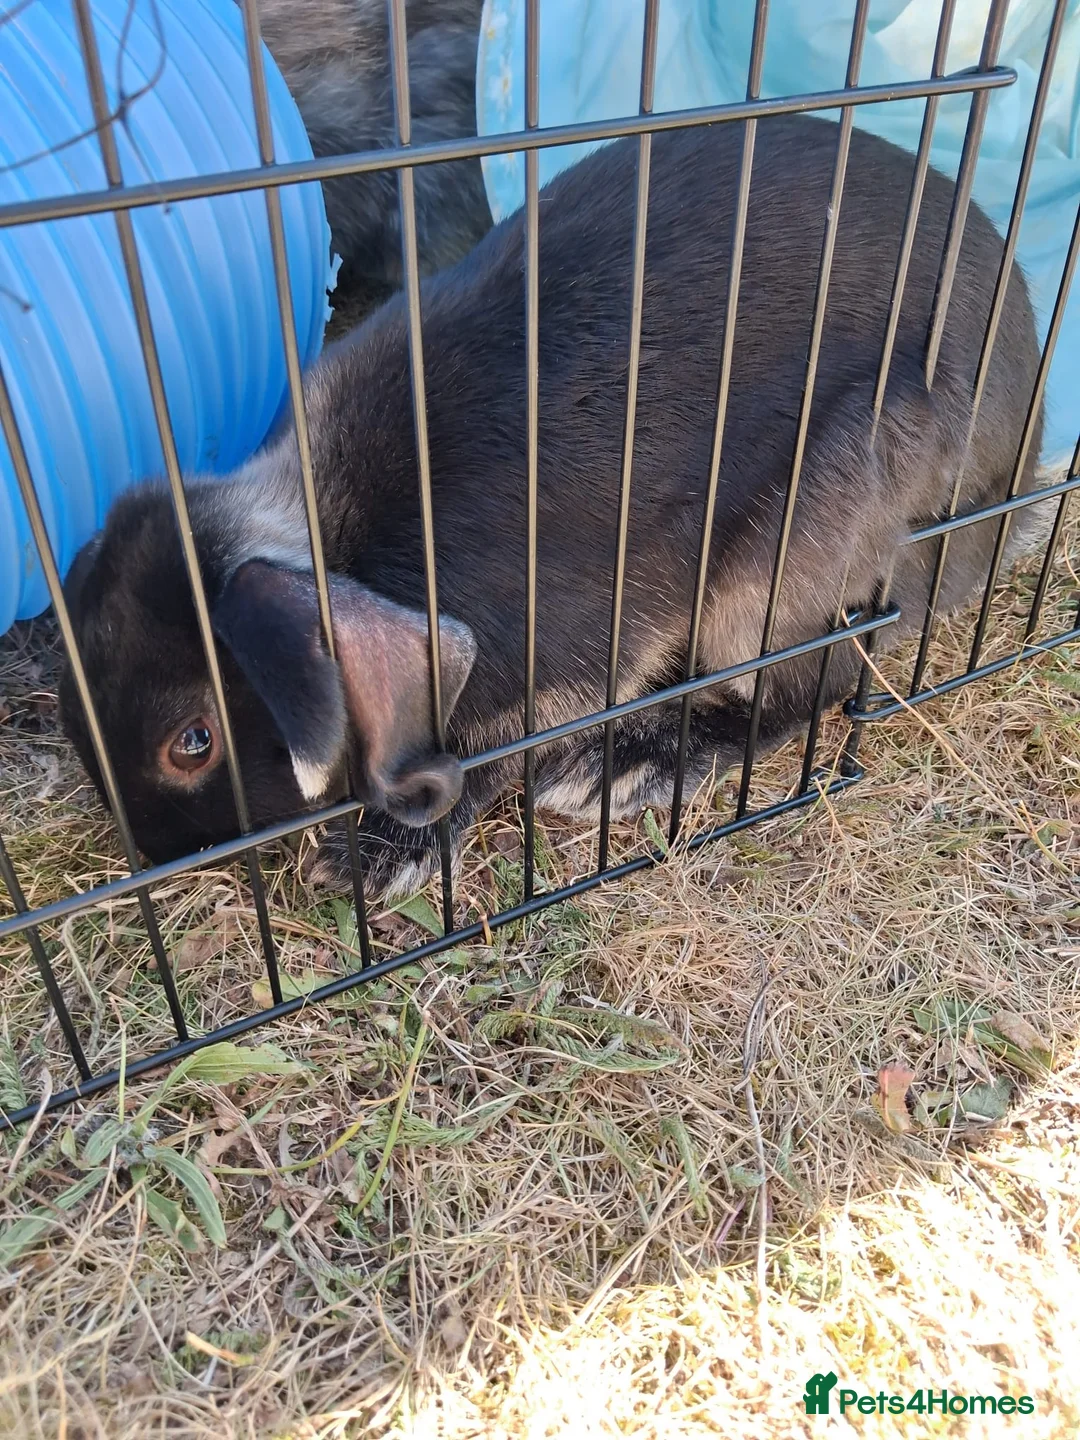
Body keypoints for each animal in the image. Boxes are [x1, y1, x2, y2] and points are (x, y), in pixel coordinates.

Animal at [59, 114, 1043, 903]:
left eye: (192, 741)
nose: (160, 852)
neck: (343, 540)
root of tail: (1016, 472)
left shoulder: (567, 663)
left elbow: (491, 756)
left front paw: (376, 857)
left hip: (795, 552)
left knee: (816, 682)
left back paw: (634, 764)